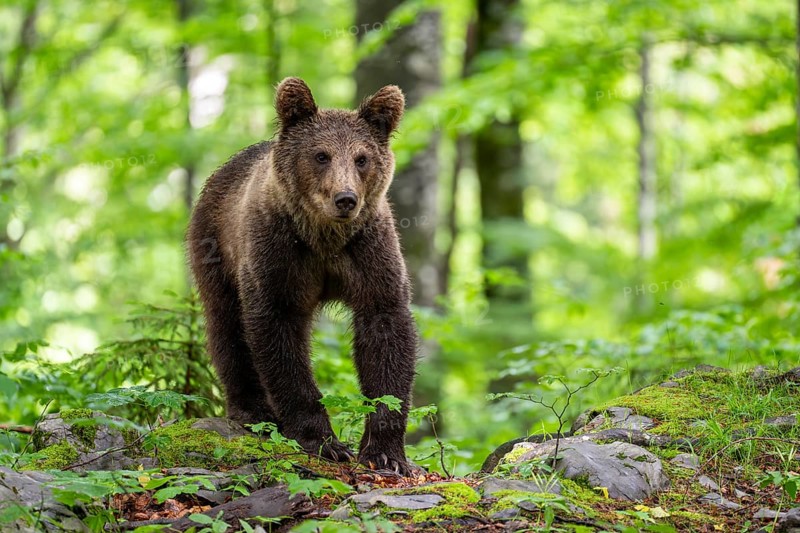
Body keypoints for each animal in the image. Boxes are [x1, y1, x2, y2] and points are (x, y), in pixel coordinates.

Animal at [187, 77, 418, 475]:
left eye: (362, 158)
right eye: (321, 155)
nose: (345, 199)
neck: (323, 236)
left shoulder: (368, 251)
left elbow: (386, 330)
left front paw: (385, 452)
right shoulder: (278, 256)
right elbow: (279, 335)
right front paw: (323, 441)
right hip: (215, 249)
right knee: (226, 327)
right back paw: (252, 410)